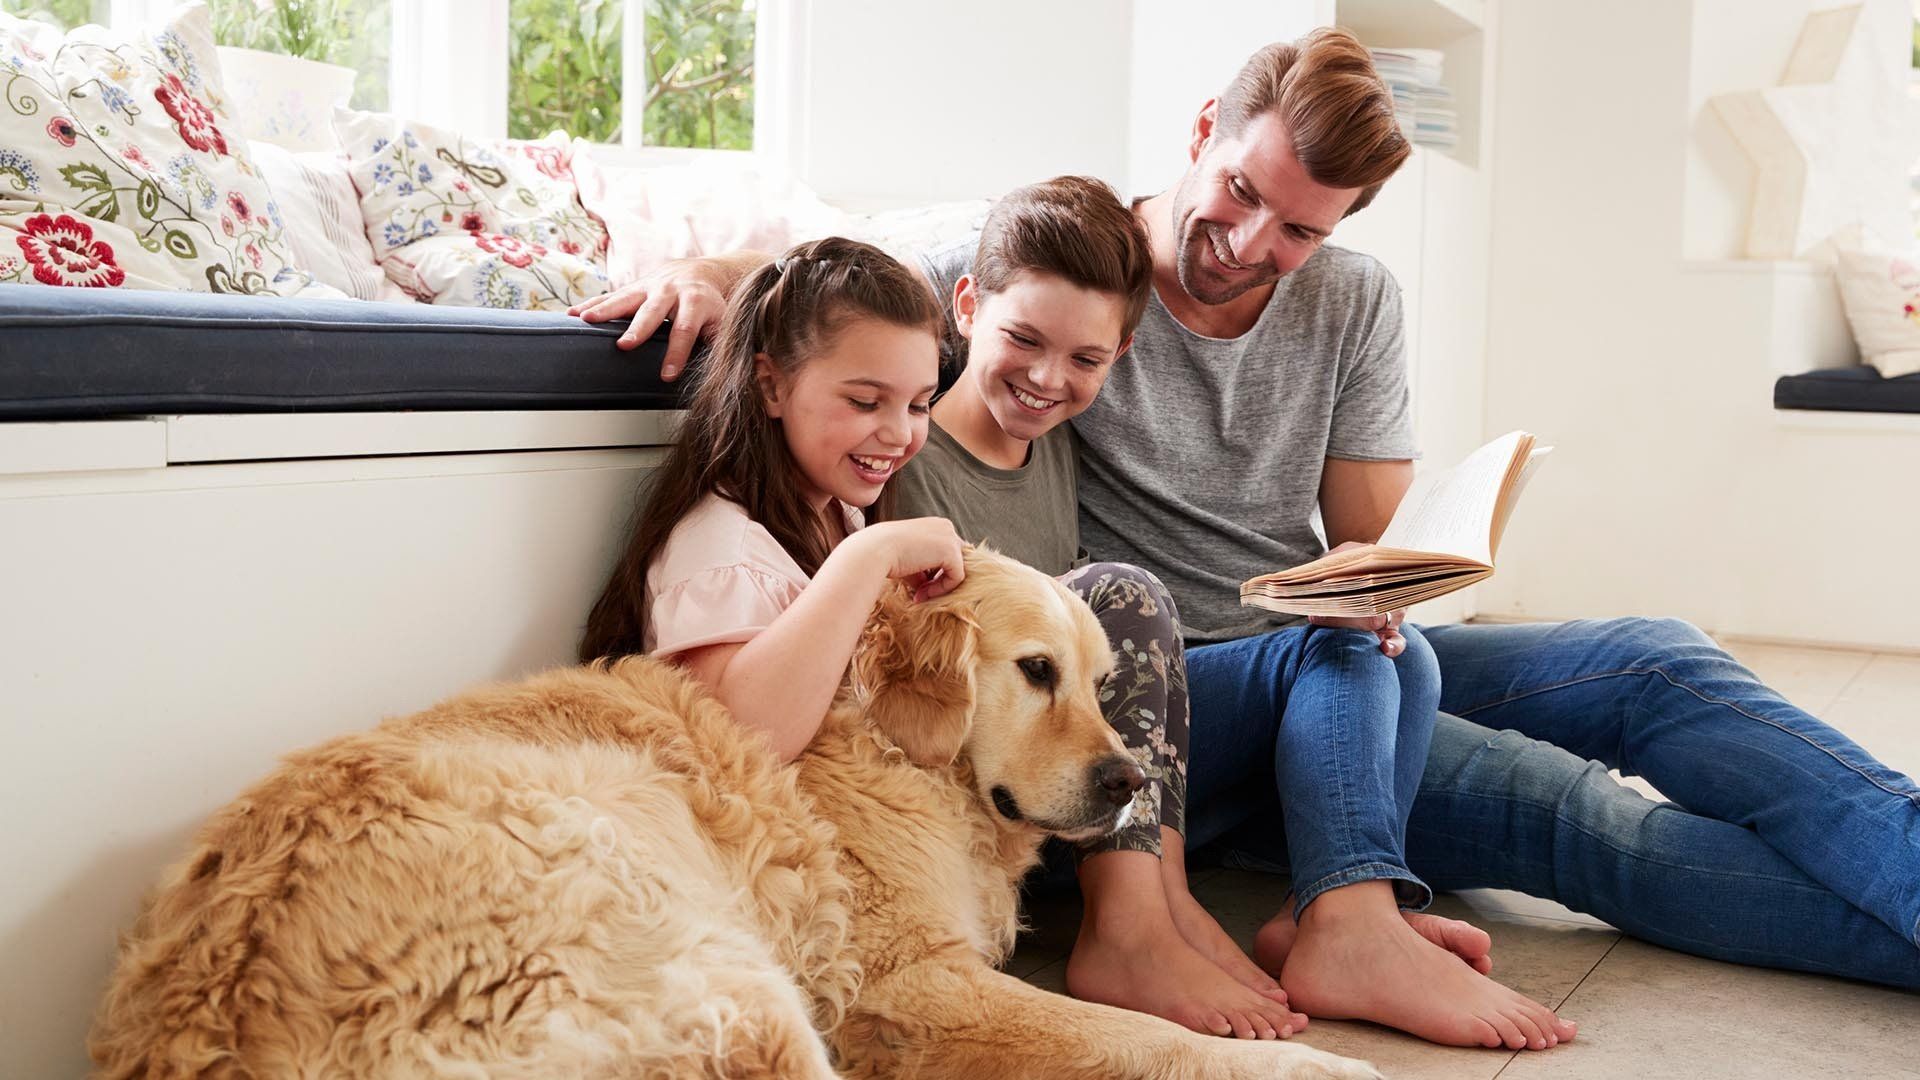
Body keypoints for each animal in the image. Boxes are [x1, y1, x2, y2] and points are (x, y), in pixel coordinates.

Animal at [93, 549, 1382, 1068]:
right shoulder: (912, 983)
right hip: (729, 987)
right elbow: (1150, 1042)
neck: (896, 753)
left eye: (1103, 680)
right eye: (1034, 672)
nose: (1126, 784)